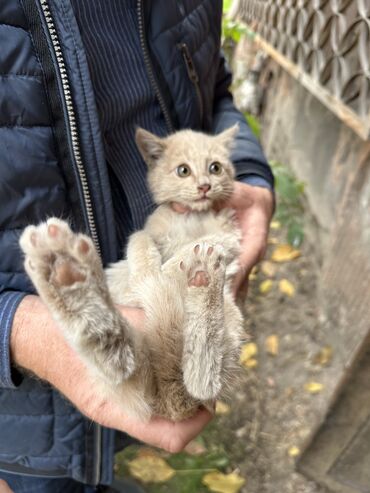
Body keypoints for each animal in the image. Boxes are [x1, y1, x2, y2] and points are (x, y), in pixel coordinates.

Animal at [20, 125, 246, 420]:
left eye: (215, 167)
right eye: (183, 170)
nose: (205, 186)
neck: (189, 217)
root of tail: (168, 399)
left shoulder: (229, 235)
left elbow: (208, 241)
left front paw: (171, 265)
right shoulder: (150, 231)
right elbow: (140, 240)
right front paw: (152, 268)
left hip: (231, 326)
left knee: (202, 384)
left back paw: (201, 277)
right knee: (121, 360)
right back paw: (67, 274)